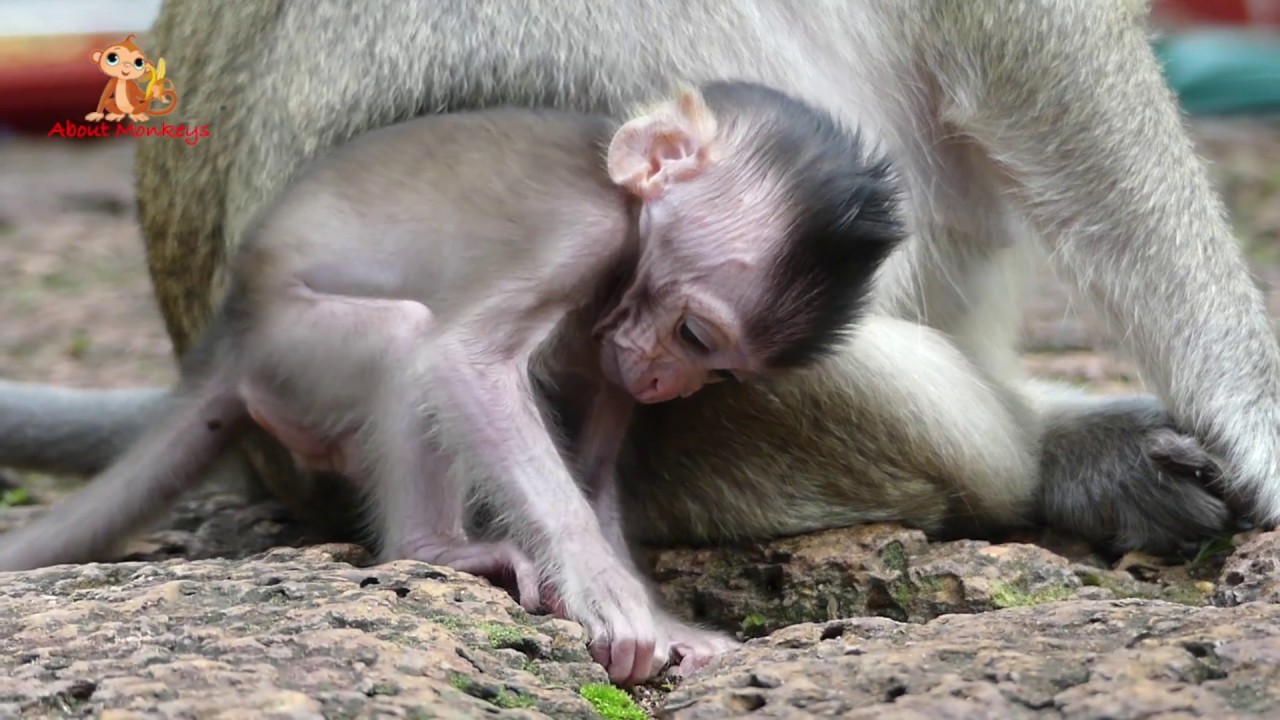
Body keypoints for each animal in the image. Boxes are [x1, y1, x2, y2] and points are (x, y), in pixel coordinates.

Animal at [0, 81, 905, 684]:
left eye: (713, 369)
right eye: (695, 334)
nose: (664, 384)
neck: (625, 220)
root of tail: (231, 330)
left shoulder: (613, 346)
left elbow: (593, 465)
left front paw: (665, 619)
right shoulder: (580, 232)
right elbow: (462, 363)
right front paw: (610, 598)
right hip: (290, 355)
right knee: (404, 341)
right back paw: (433, 551)